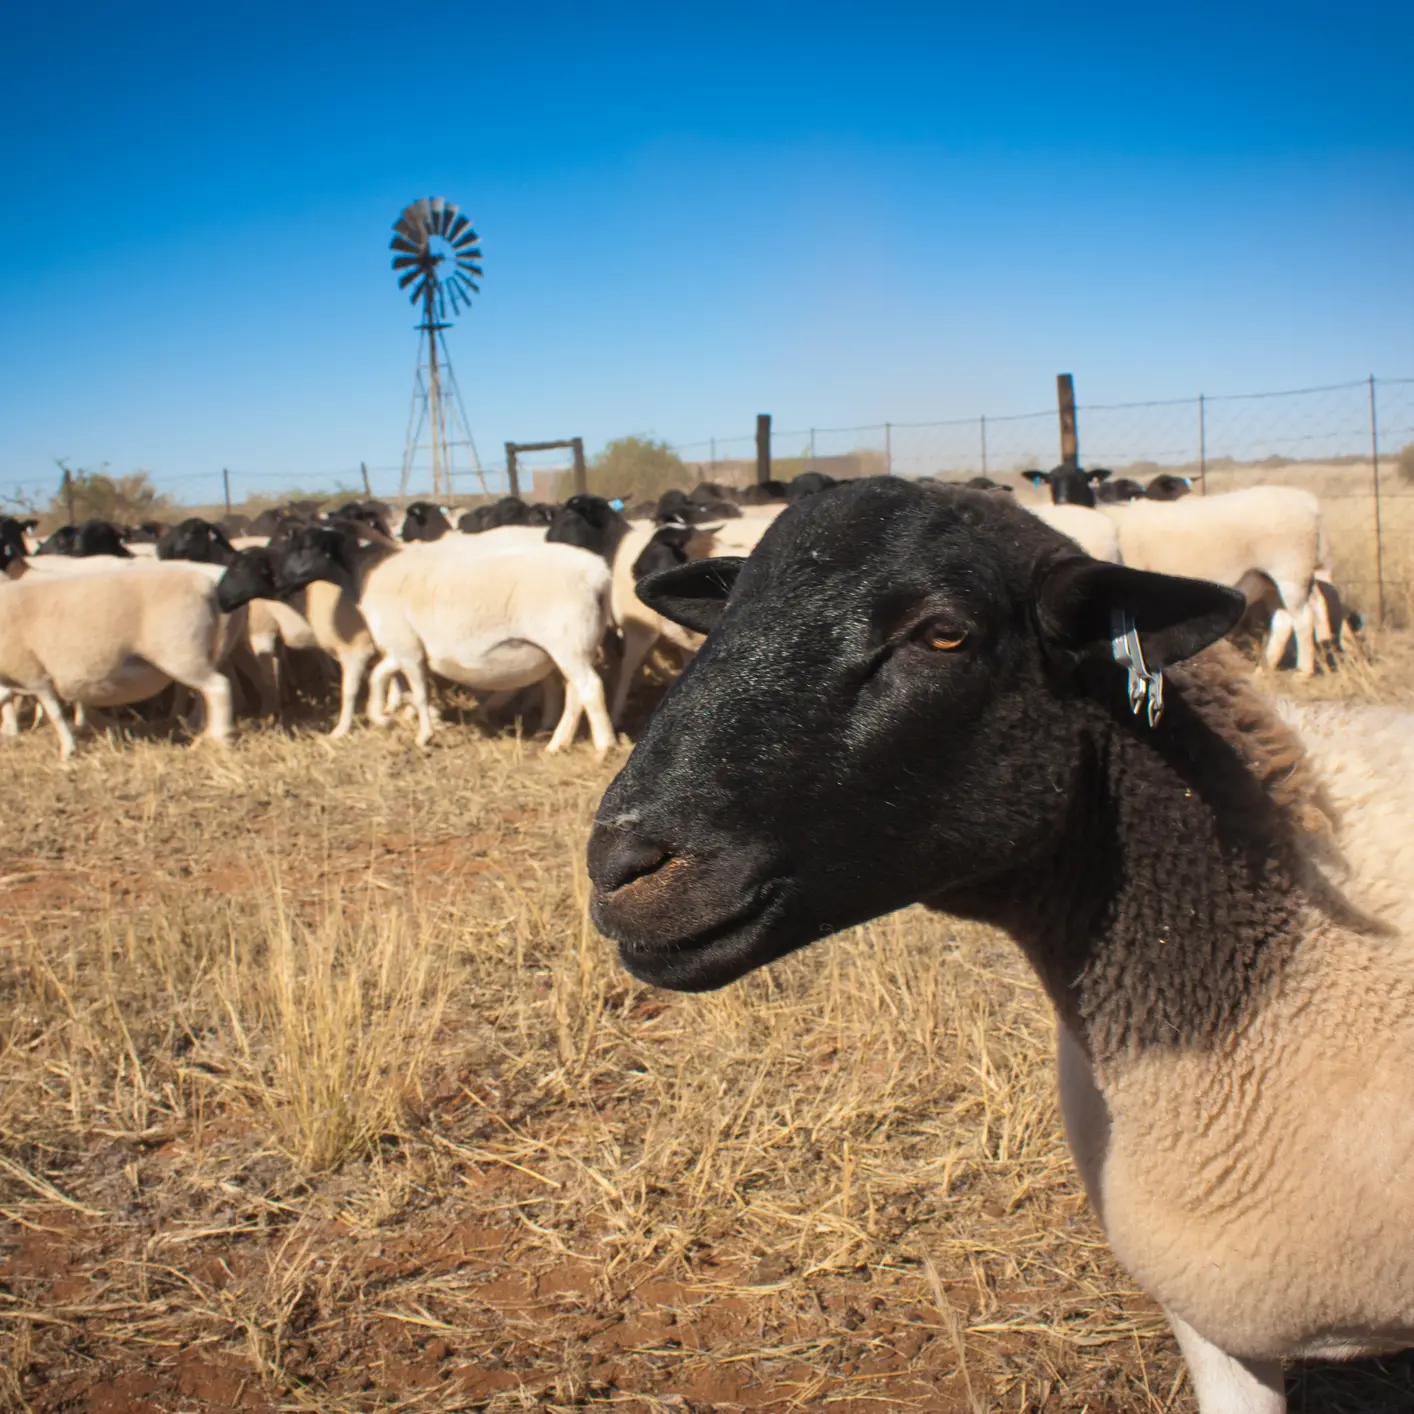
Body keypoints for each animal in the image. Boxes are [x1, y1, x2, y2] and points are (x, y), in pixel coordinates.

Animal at [1100, 486, 1323, 674]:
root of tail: (1308, 502)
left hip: (1289, 572)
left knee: (1303, 618)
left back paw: (1303, 672)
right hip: (1267, 581)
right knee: (1284, 620)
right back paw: (1263, 670)